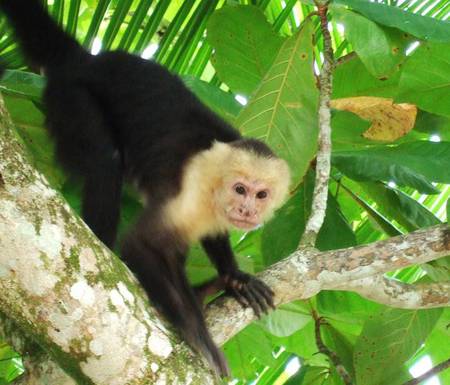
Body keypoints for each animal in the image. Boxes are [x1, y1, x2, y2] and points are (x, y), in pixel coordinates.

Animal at [0, 0, 292, 376]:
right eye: (240, 189)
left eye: (261, 194)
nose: (248, 210)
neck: (213, 192)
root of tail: (88, 60)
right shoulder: (190, 197)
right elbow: (140, 243)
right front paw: (198, 332)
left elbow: (209, 238)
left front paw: (232, 277)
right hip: (72, 96)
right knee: (105, 163)